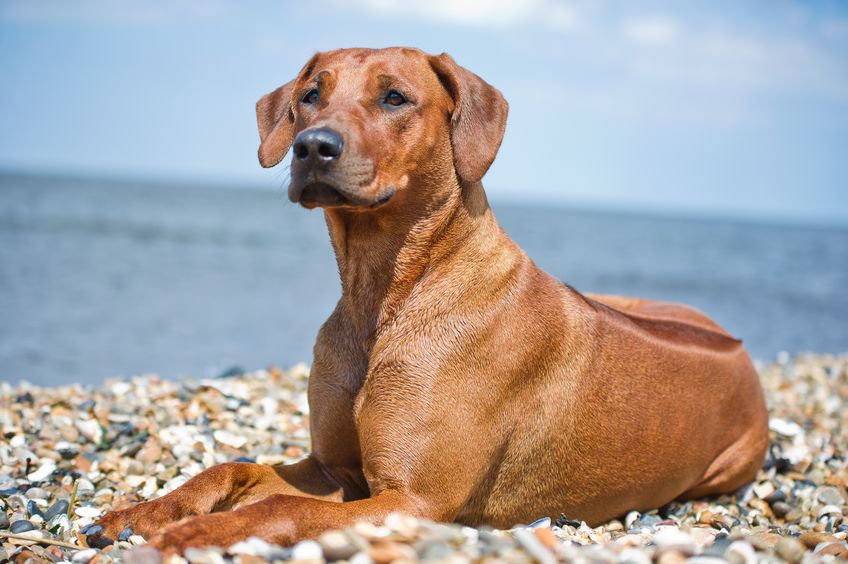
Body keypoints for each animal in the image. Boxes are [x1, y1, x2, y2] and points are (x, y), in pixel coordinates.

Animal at [93, 47, 768, 552]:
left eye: (394, 97)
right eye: (310, 94)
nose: (313, 145)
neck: (385, 292)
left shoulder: (413, 500)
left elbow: (278, 508)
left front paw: (197, 533)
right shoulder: (333, 468)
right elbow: (234, 468)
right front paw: (145, 511)